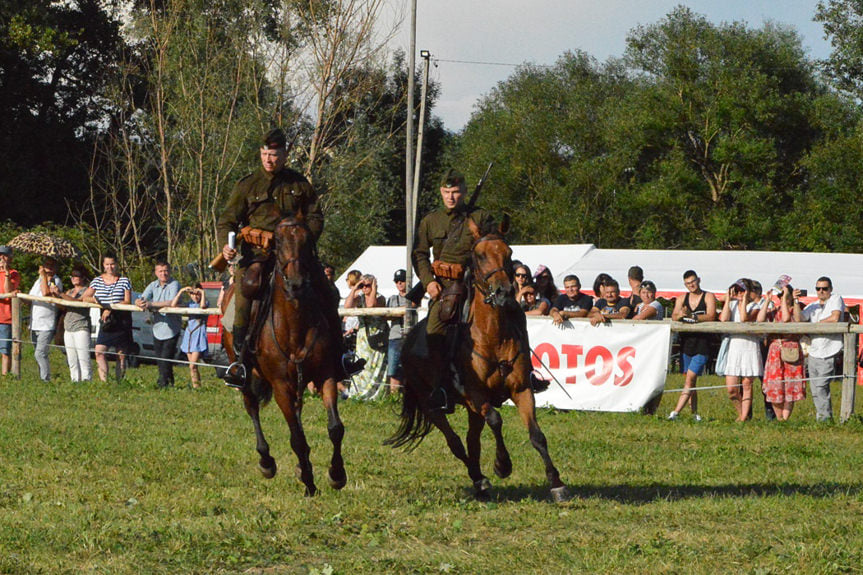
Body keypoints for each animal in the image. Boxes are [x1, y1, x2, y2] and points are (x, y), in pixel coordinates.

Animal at [223, 214, 348, 498]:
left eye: (306, 240)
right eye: (278, 242)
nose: (296, 282)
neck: (294, 323)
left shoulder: (325, 376)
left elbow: (335, 428)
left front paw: (336, 475)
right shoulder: (280, 386)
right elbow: (297, 438)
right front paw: (310, 483)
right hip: (247, 377)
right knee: (252, 406)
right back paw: (266, 461)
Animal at [386, 216, 568, 500]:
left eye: (509, 253)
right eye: (480, 255)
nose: (504, 292)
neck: (493, 335)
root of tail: (408, 339)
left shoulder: (521, 389)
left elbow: (537, 435)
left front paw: (556, 482)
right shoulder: (475, 394)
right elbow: (496, 420)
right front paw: (502, 465)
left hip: (471, 409)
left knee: (471, 440)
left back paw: (480, 481)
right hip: (432, 406)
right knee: (456, 442)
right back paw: (479, 478)